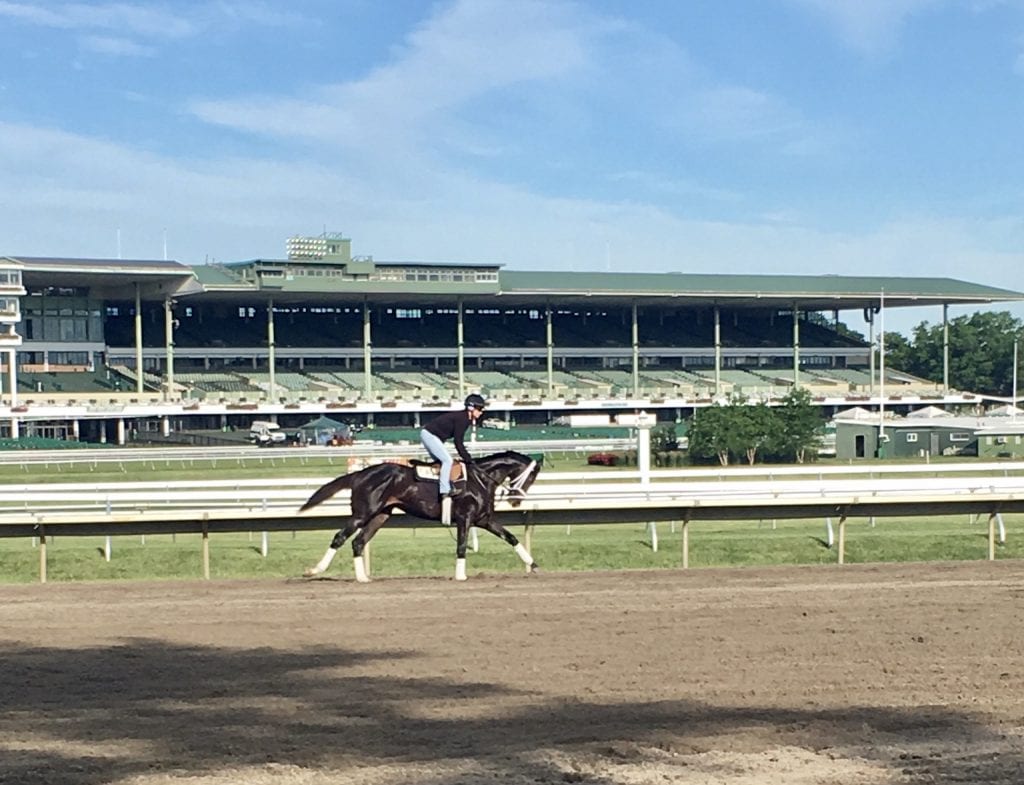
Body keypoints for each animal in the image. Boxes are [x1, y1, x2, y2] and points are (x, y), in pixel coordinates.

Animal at [299, 450, 544, 581]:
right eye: (531, 477)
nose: (515, 500)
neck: (480, 479)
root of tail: (360, 473)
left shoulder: (483, 519)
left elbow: (511, 537)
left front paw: (533, 564)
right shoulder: (464, 518)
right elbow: (461, 547)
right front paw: (460, 575)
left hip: (380, 516)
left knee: (358, 542)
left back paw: (362, 577)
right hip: (363, 513)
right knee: (340, 537)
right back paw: (315, 570)